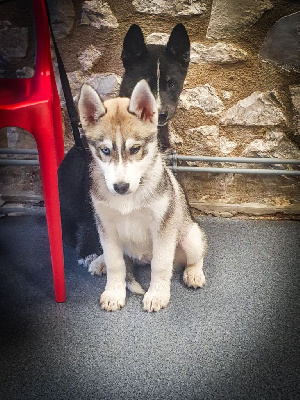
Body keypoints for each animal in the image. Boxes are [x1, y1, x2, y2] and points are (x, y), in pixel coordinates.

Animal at [77, 80, 206, 312]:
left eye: (135, 149)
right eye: (105, 150)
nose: (120, 187)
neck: (128, 199)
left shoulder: (162, 227)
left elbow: (161, 265)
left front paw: (157, 295)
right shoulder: (106, 225)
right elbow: (115, 263)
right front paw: (114, 293)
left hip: (190, 237)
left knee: (197, 254)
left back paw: (193, 273)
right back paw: (99, 262)